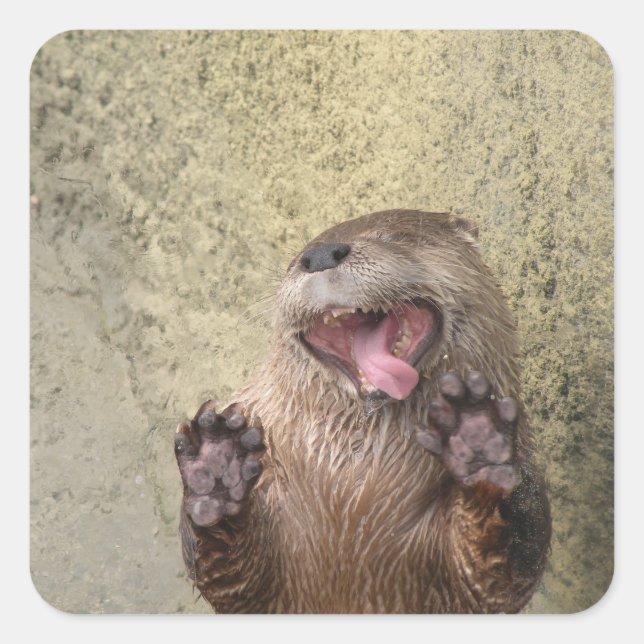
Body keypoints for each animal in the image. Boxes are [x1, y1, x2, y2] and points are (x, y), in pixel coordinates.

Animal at [174, 210, 551, 613]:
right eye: (296, 259)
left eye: (394, 237)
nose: (320, 255)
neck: (352, 484)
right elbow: (228, 577)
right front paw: (217, 466)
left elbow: (502, 572)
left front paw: (478, 439)